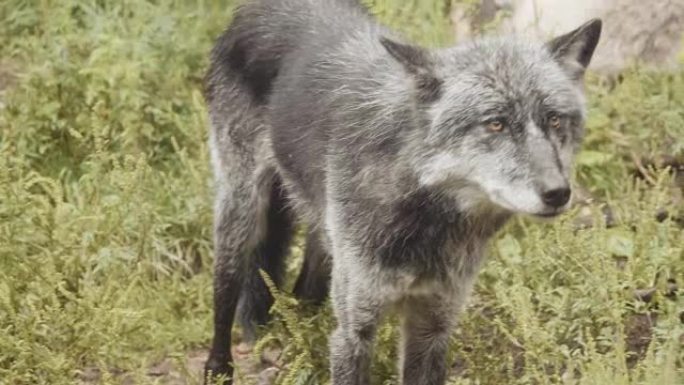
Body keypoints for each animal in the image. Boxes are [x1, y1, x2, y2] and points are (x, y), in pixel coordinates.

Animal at [202, 1, 600, 382]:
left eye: (554, 119)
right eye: (496, 124)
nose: (557, 193)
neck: (424, 219)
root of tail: (258, 8)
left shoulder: (433, 325)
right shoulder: (355, 331)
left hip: (322, 236)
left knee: (305, 290)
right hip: (241, 214)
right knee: (225, 294)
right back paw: (218, 368)